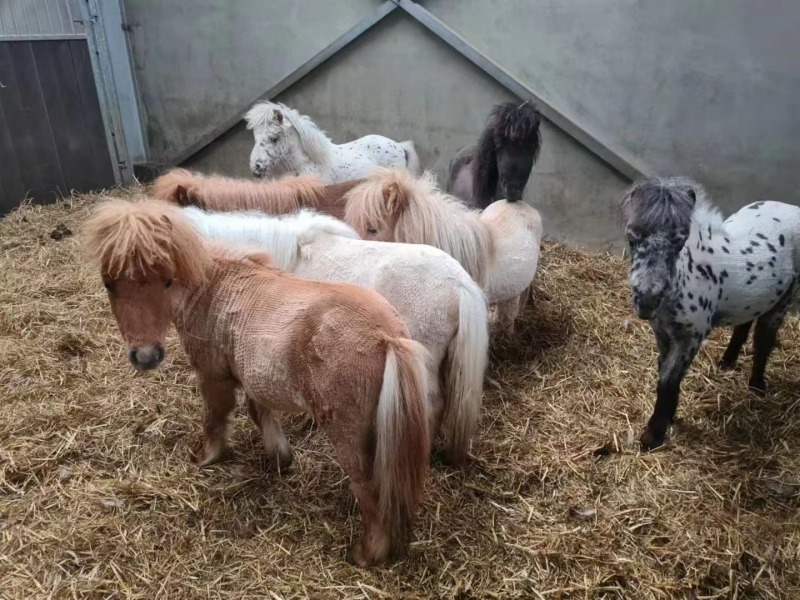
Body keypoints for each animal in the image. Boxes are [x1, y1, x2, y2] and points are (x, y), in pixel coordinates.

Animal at [82, 199, 431, 566]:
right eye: (109, 284)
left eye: (166, 281)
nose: (145, 356)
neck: (214, 290)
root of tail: (387, 336)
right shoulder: (253, 377)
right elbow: (259, 411)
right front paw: (279, 458)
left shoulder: (213, 376)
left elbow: (216, 417)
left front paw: (206, 457)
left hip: (347, 435)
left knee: (367, 487)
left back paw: (366, 553)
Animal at [619, 177, 800, 450]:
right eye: (632, 238)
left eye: (680, 241)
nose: (647, 300)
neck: (686, 279)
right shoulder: (663, 332)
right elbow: (664, 371)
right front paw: (669, 418)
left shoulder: (692, 337)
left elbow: (668, 380)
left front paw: (653, 435)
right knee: (744, 325)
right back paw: (727, 362)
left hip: (782, 302)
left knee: (763, 340)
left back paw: (757, 386)